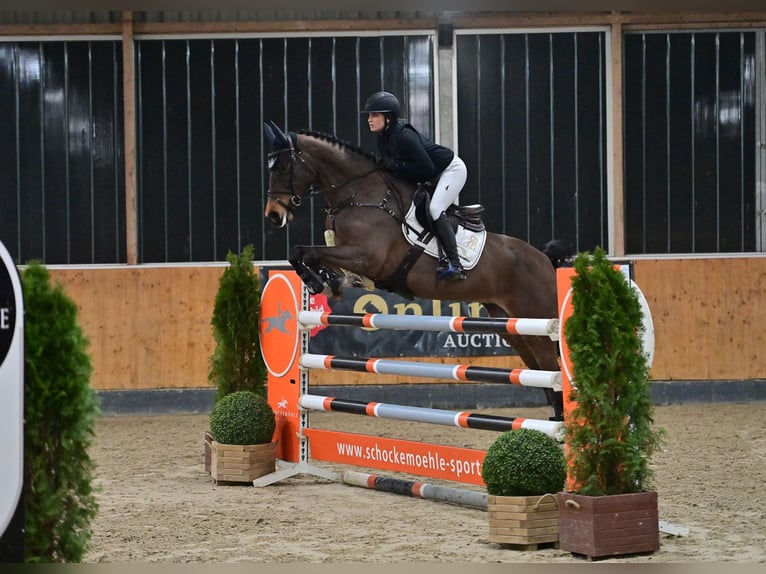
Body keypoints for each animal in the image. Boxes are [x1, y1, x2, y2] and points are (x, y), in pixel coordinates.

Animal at [264, 121, 568, 420]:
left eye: (283, 167)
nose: (273, 215)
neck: (360, 194)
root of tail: (544, 259)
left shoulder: (365, 258)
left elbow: (309, 252)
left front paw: (319, 282)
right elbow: (301, 253)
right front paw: (324, 282)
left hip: (538, 321)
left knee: (552, 370)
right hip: (512, 327)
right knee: (542, 374)